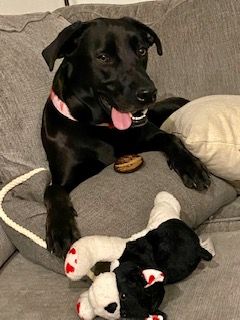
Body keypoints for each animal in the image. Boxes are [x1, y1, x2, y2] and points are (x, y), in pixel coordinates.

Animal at [41, 16, 210, 258]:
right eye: (103, 57)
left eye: (141, 50)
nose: (148, 93)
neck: (99, 127)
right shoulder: (64, 178)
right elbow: (53, 190)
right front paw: (60, 229)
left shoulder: (149, 136)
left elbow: (171, 138)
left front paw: (191, 166)